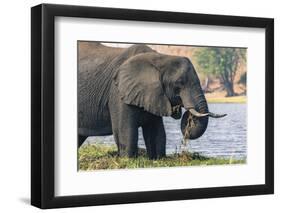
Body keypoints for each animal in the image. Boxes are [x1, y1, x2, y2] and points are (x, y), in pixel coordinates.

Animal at [77, 41, 225, 159]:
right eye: (179, 83)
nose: (186, 114)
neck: (160, 58)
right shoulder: (118, 92)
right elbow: (125, 130)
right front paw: (128, 160)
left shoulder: (153, 94)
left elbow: (156, 131)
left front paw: (158, 159)